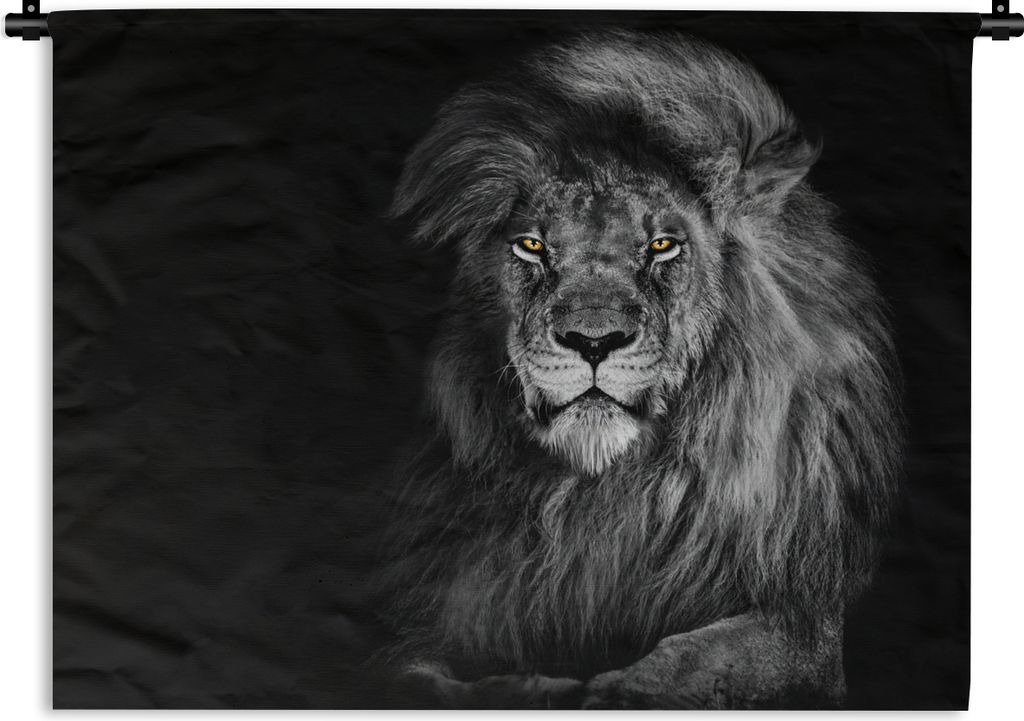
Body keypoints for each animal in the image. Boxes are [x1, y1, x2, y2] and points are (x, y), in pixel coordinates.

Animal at [377, 30, 901, 709]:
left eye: (662, 245)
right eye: (532, 245)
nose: (592, 340)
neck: (602, 495)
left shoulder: (804, 621)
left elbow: (693, 663)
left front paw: (608, 691)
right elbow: (421, 678)